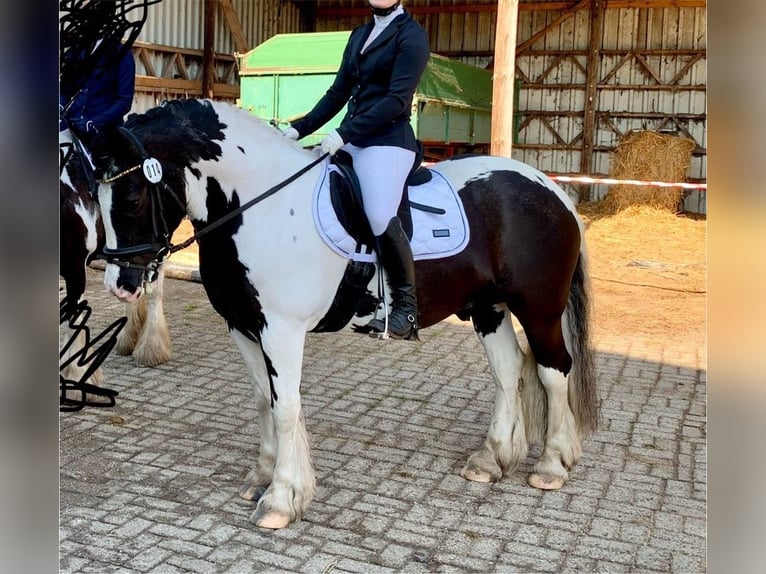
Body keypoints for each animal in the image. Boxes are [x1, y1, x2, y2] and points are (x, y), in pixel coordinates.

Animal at [91, 99, 600, 532]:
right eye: (96, 199)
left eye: (132, 198)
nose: (119, 284)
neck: (258, 205)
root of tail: (551, 189)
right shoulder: (243, 325)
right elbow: (262, 399)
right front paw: (262, 476)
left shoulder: (281, 330)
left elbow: (285, 406)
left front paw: (282, 498)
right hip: (487, 308)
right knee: (509, 371)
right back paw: (492, 460)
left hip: (538, 308)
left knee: (554, 371)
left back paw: (552, 464)